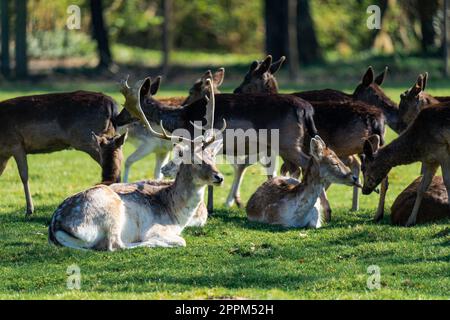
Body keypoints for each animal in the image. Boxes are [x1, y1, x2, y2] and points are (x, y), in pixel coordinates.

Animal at [48, 79, 225, 250]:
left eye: (212, 157)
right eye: (193, 160)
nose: (219, 177)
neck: (177, 215)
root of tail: (55, 227)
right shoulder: (156, 227)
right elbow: (181, 240)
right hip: (111, 212)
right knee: (114, 245)